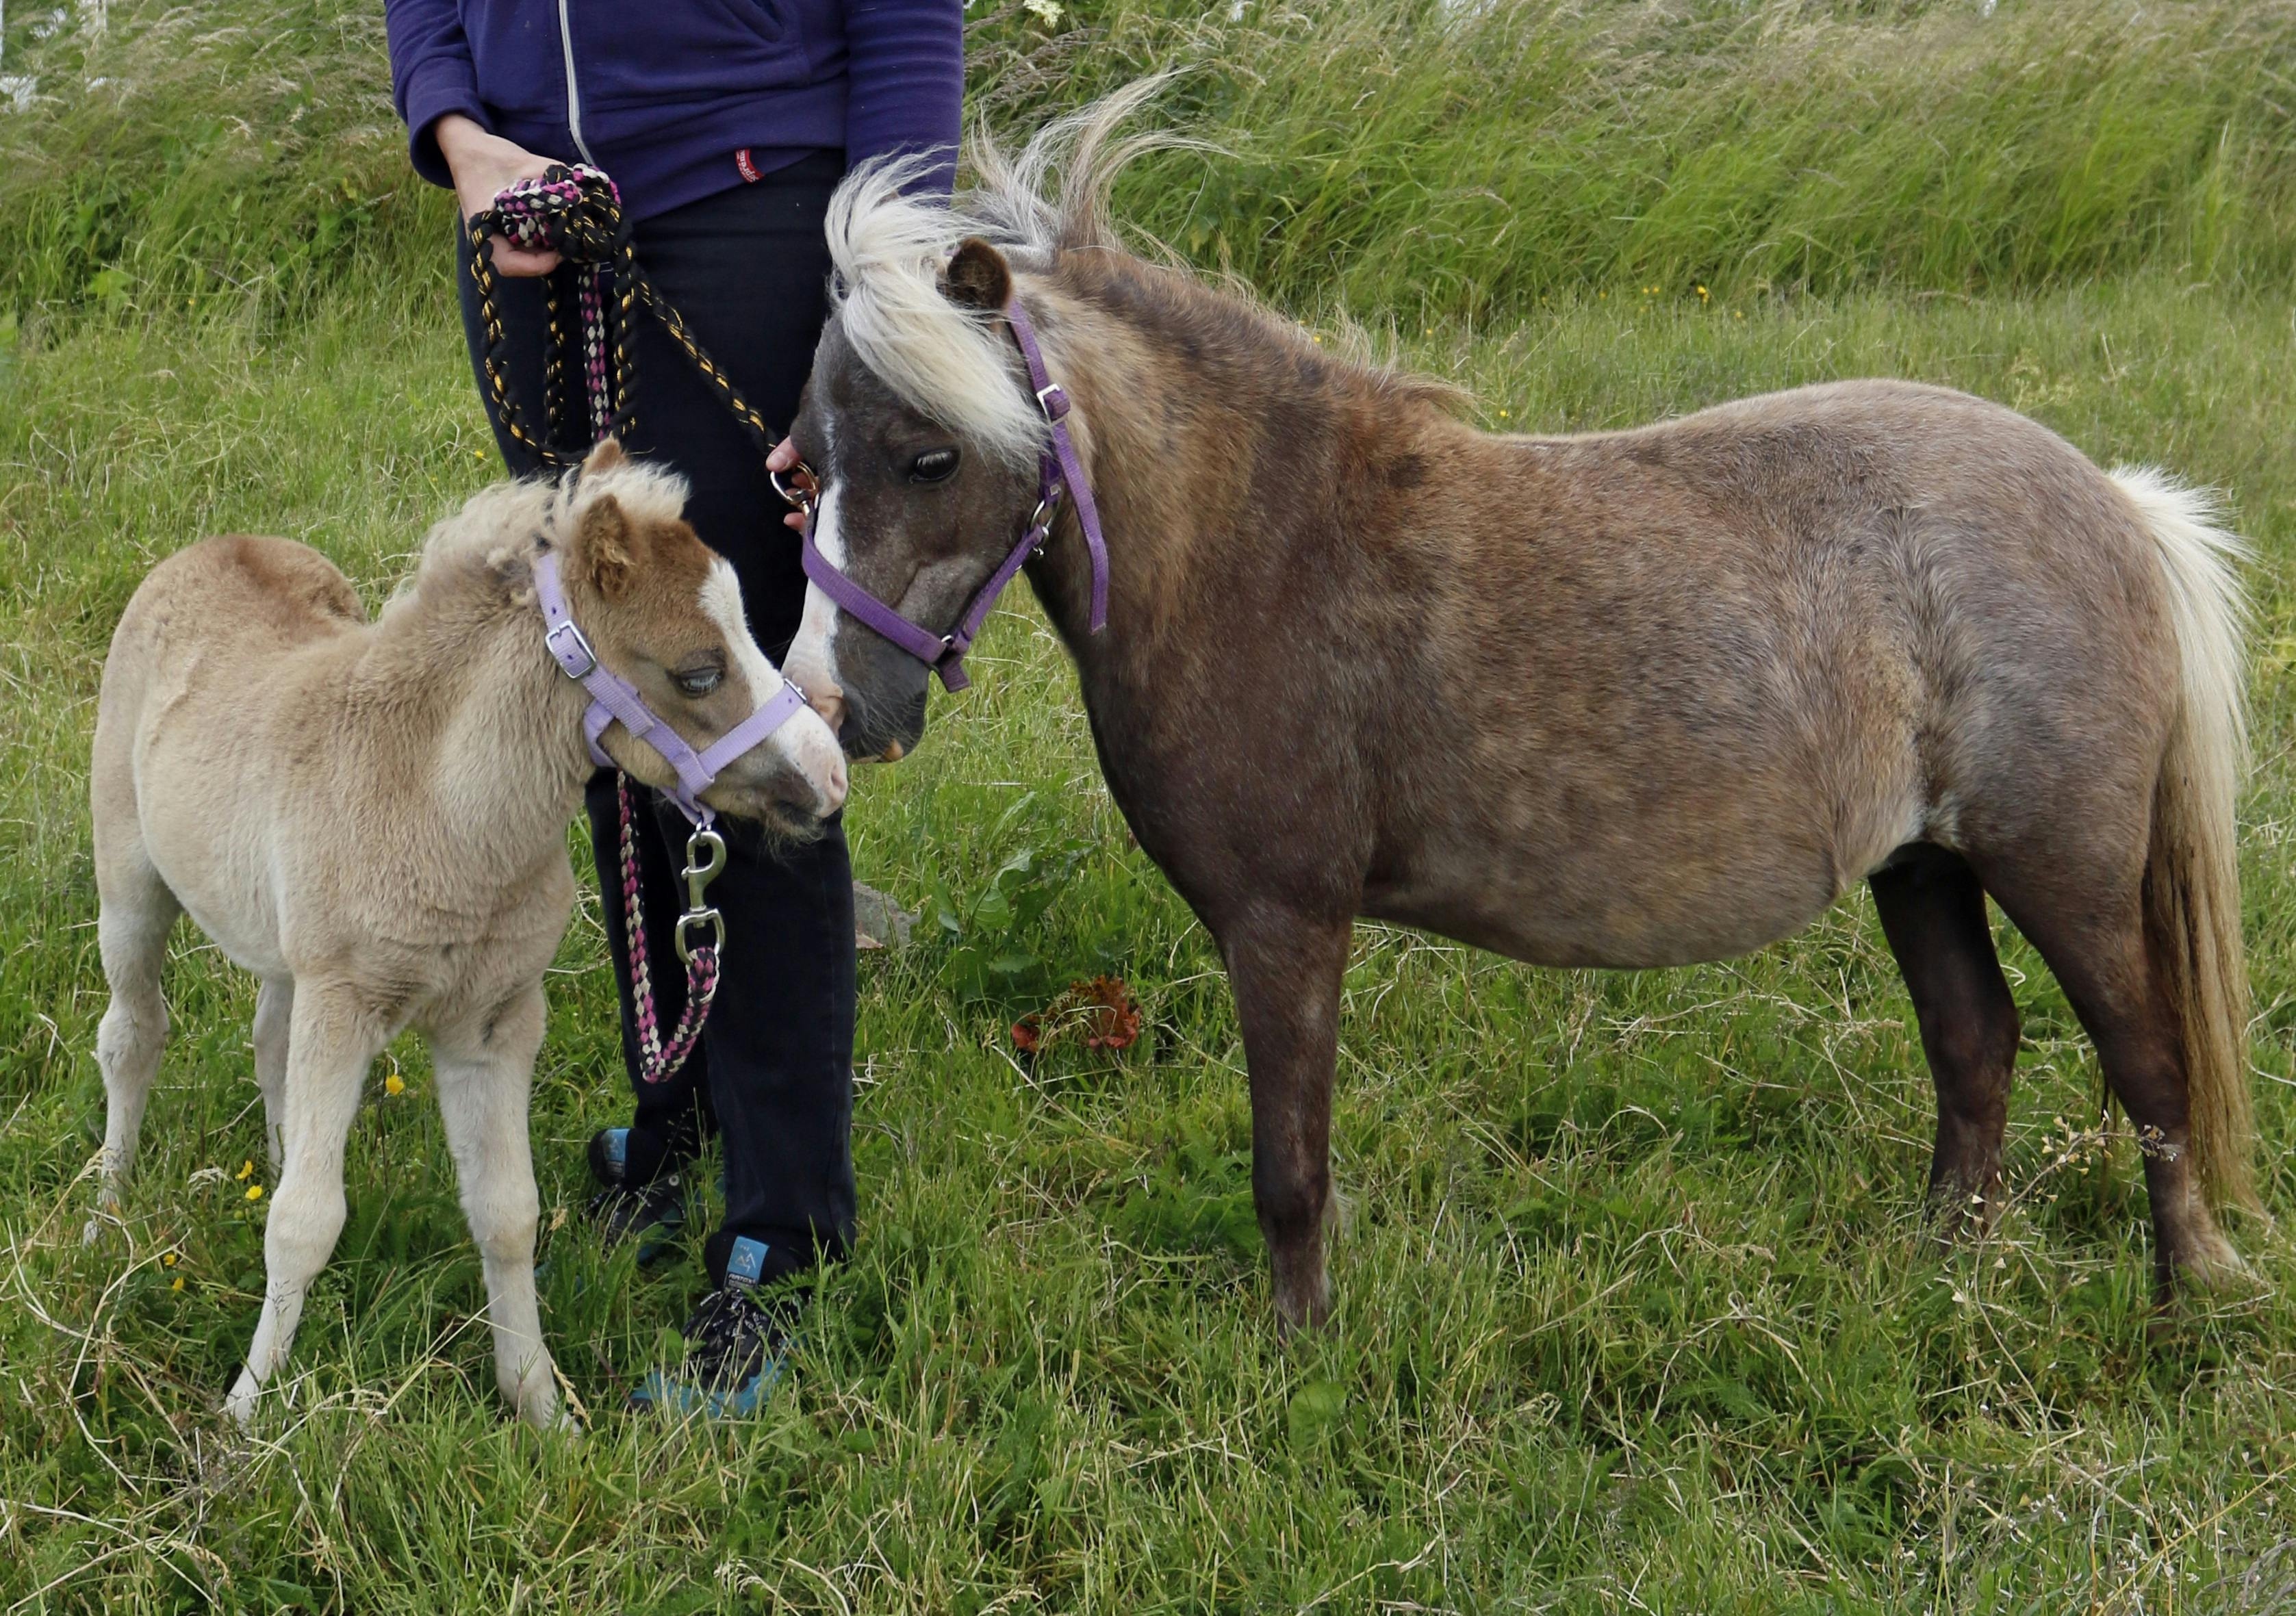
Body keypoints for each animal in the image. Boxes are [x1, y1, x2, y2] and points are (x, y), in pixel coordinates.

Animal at [780, 104, 2249, 1340]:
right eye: (801, 463)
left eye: (929, 455)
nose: (831, 707)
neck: (1266, 550)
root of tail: (2114, 505)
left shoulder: (1284, 925)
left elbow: (1288, 1172)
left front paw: (1294, 1357)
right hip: (1922, 866)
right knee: (1973, 1047)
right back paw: (1942, 1275)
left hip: (2059, 872)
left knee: (2147, 1066)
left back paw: (2183, 1297)